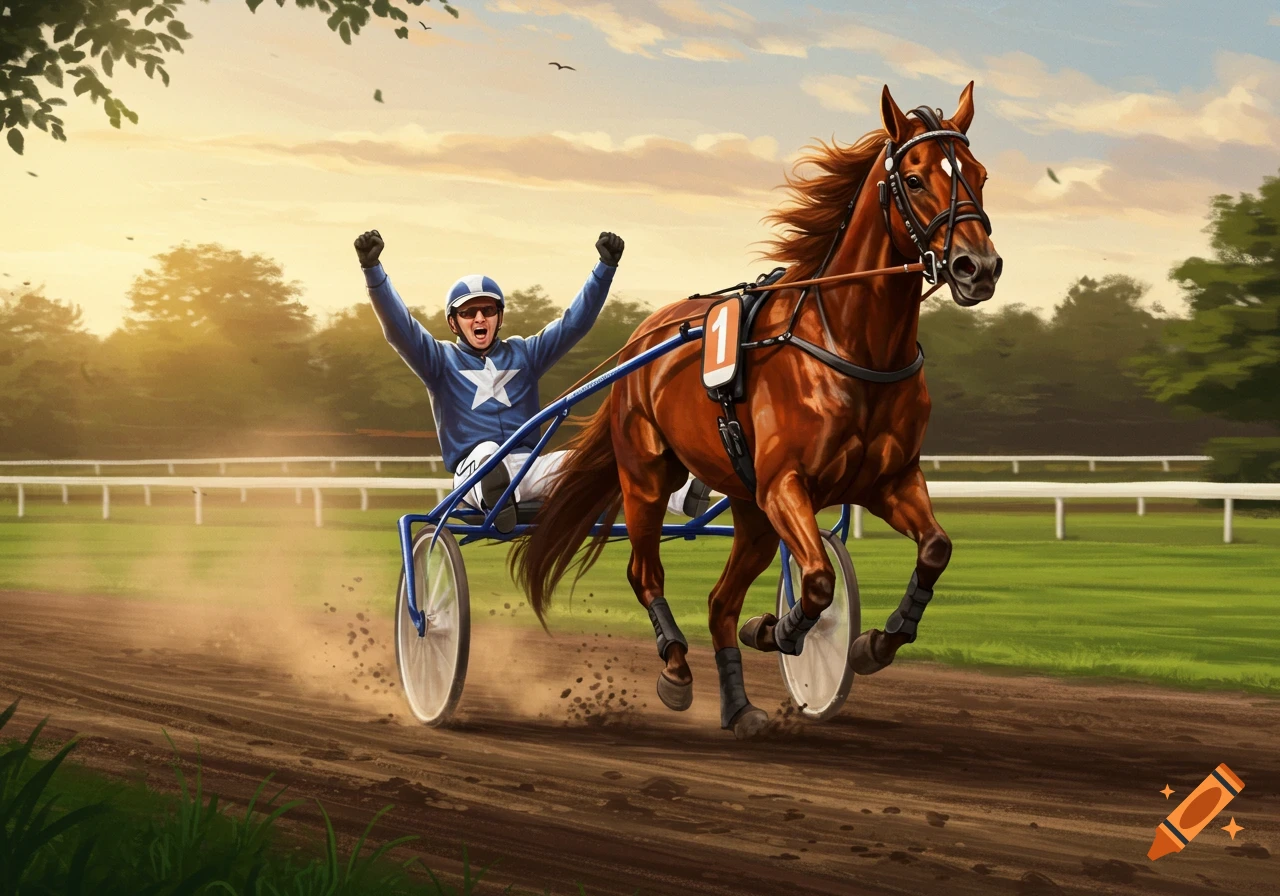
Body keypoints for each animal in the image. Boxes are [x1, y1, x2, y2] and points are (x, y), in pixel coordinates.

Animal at [512, 83, 1002, 738]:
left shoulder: (889, 480)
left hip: (748, 510)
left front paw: (873, 642)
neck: (850, 345)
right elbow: (817, 581)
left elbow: (935, 549)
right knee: (646, 573)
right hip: (646, 475)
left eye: (979, 174)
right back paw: (676, 670)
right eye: (917, 178)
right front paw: (782, 629)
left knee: (720, 602)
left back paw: (740, 707)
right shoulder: (783, 484)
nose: (979, 267)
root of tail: (644, 334)